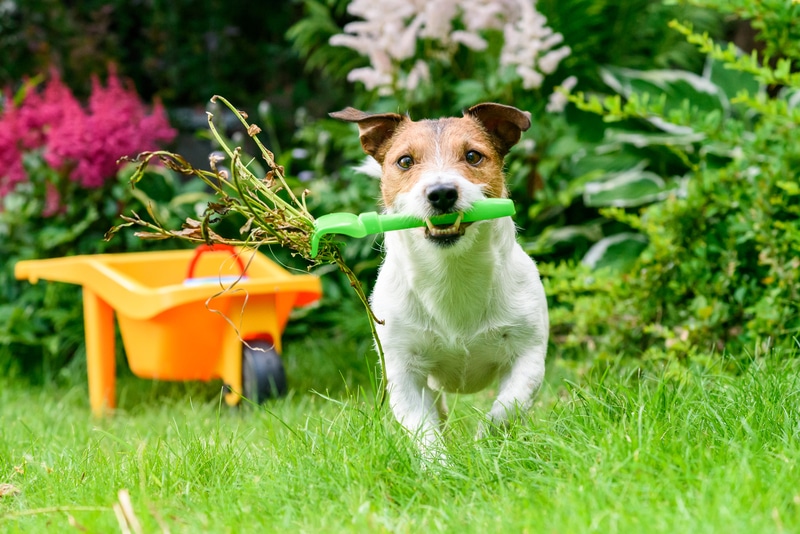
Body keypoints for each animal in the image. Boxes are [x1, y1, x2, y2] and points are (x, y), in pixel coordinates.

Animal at [328, 102, 548, 454]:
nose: (442, 193)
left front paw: (483, 447)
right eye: (405, 161)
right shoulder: (404, 372)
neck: (452, 273)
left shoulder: (527, 357)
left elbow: (505, 410)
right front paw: (438, 464)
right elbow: (424, 430)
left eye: (473, 156)